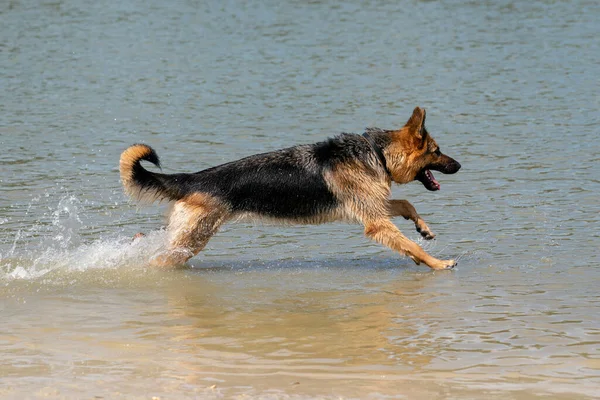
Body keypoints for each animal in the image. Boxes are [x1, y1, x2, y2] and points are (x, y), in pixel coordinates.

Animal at [119, 107, 462, 268]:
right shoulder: (375, 221)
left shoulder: (371, 207)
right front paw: (436, 262)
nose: (459, 165)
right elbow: (411, 245)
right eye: (437, 151)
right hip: (193, 238)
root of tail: (192, 177)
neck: (377, 152)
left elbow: (406, 206)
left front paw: (424, 229)